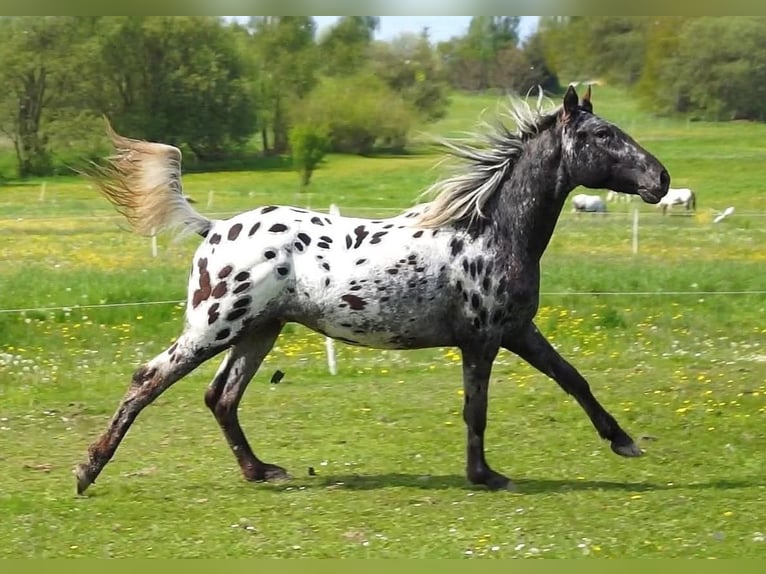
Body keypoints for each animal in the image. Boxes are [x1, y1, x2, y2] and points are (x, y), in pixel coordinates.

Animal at [74, 85, 670, 495]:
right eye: (602, 135)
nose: (660, 180)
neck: (489, 229)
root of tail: (216, 228)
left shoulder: (518, 331)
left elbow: (574, 379)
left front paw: (624, 442)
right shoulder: (482, 340)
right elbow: (476, 409)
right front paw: (485, 475)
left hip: (259, 331)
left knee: (221, 397)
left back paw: (259, 470)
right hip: (214, 326)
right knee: (149, 379)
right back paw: (86, 471)